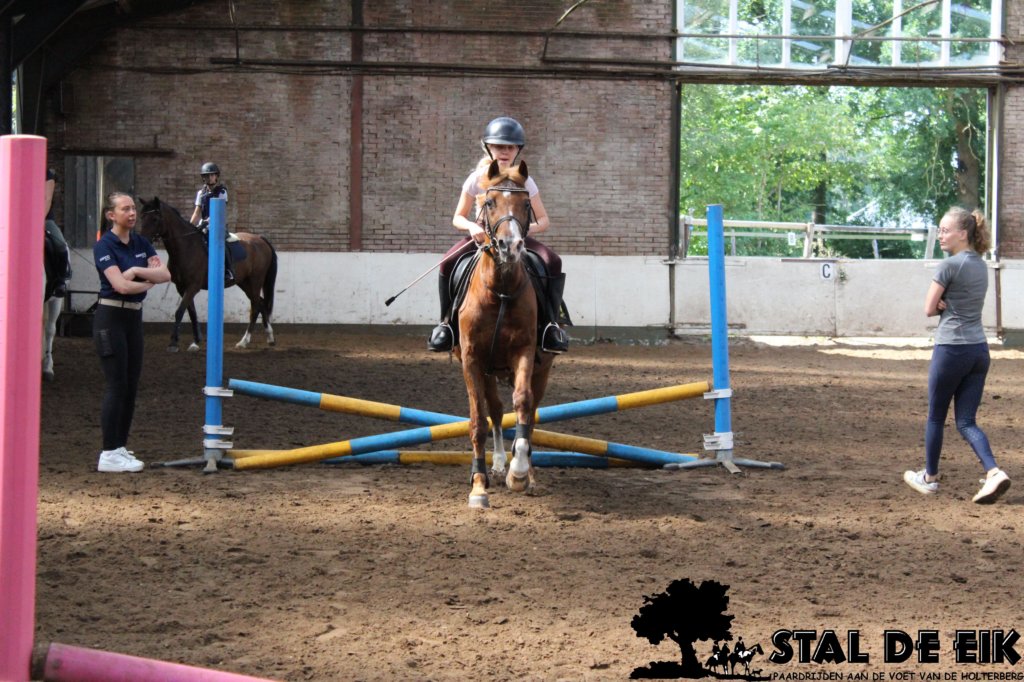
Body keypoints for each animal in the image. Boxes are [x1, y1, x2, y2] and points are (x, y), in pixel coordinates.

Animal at [138, 197, 277, 352]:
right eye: (142, 217)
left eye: (155, 218)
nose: (143, 239)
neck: (186, 246)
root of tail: (260, 239)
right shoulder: (181, 287)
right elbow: (191, 312)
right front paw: (196, 341)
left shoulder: (193, 286)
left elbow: (179, 311)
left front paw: (173, 343)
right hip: (244, 282)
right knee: (261, 303)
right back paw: (269, 337)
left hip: (255, 281)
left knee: (256, 306)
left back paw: (244, 341)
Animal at [452, 160, 555, 509]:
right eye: (489, 202)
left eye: (525, 204)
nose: (510, 247)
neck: (500, 290)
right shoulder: (472, 359)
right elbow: (478, 420)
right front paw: (478, 485)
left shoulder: (524, 350)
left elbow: (522, 404)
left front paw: (519, 472)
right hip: (486, 369)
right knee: (495, 410)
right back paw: (496, 464)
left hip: (541, 368)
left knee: (530, 413)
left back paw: (528, 474)